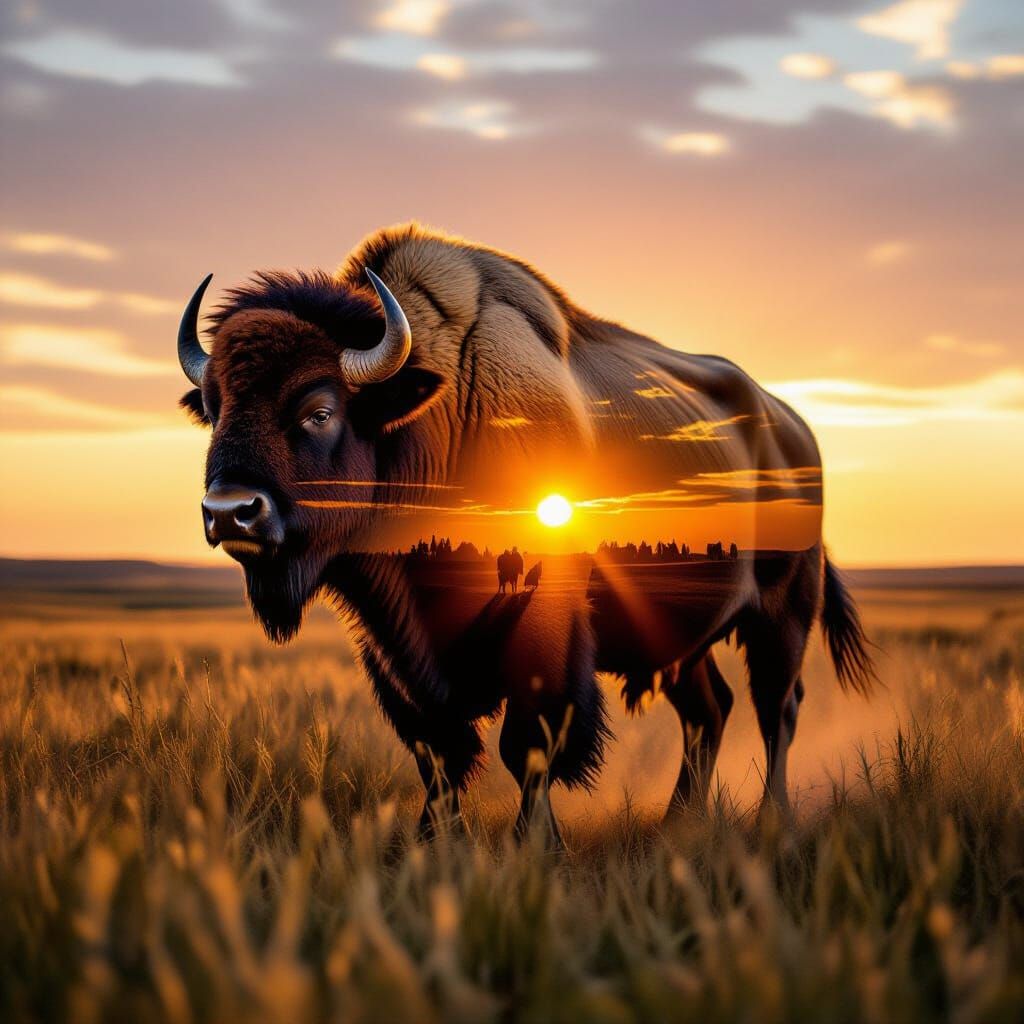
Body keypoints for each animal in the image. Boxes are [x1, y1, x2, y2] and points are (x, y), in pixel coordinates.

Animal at [177, 224, 873, 841]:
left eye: (319, 411)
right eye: (214, 409)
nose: (230, 511)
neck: (439, 420)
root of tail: (793, 429)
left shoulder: (544, 624)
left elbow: (528, 743)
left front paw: (534, 844)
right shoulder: (389, 640)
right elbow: (436, 751)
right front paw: (432, 843)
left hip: (783, 613)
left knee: (776, 707)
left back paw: (772, 820)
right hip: (679, 640)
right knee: (710, 710)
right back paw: (679, 823)